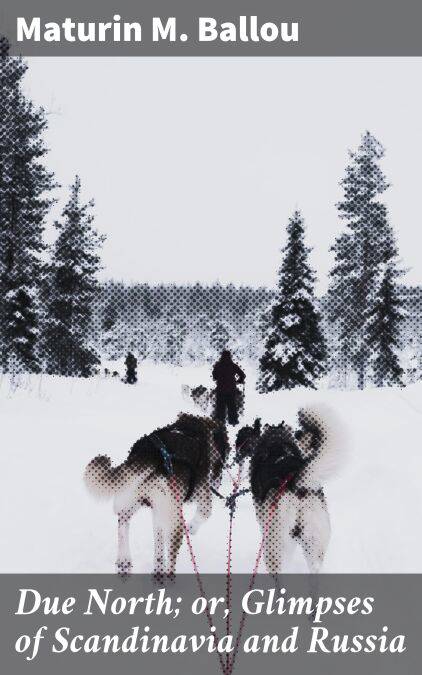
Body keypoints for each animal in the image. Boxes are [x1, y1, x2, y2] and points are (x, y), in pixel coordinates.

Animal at [84, 414, 229, 578]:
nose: (218, 480)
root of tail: (150, 454)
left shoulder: (158, 512)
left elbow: (158, 543)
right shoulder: (202, 494)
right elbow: (204, 513)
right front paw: (192, 527)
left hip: (131, 498)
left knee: (122, 524)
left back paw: (125, 561)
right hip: (174, 521)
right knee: (171, 556)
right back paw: (169, 577)